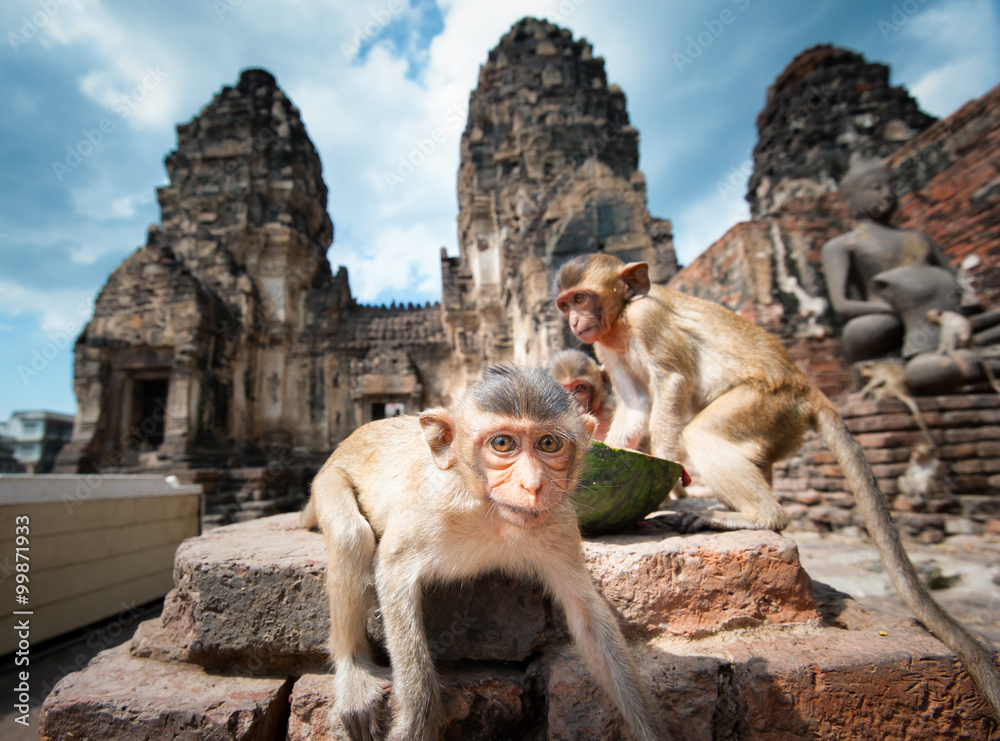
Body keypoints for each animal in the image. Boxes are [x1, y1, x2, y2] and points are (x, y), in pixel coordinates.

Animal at [300, 365, 667, 741]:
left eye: (549, 443)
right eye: (502, 443)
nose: (533, 485)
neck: (491, 513)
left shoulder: (560, 522)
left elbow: (589, 619)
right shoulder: (430, 508)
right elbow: (392, 570)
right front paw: (417, 717)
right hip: (325, 482)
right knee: (351, 536)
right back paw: (353, 672)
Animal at [554, 252, 1000, 720]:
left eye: (582, 298)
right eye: (566, 304)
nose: (577, 320)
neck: (621, 320)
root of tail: (808, 389)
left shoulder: (647, 320)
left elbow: (671, 383)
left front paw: (669, 469)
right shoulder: (605, 347)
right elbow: (637, 403)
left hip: (768, 402)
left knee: (703, 434)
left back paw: (755, 515)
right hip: (776, 421)